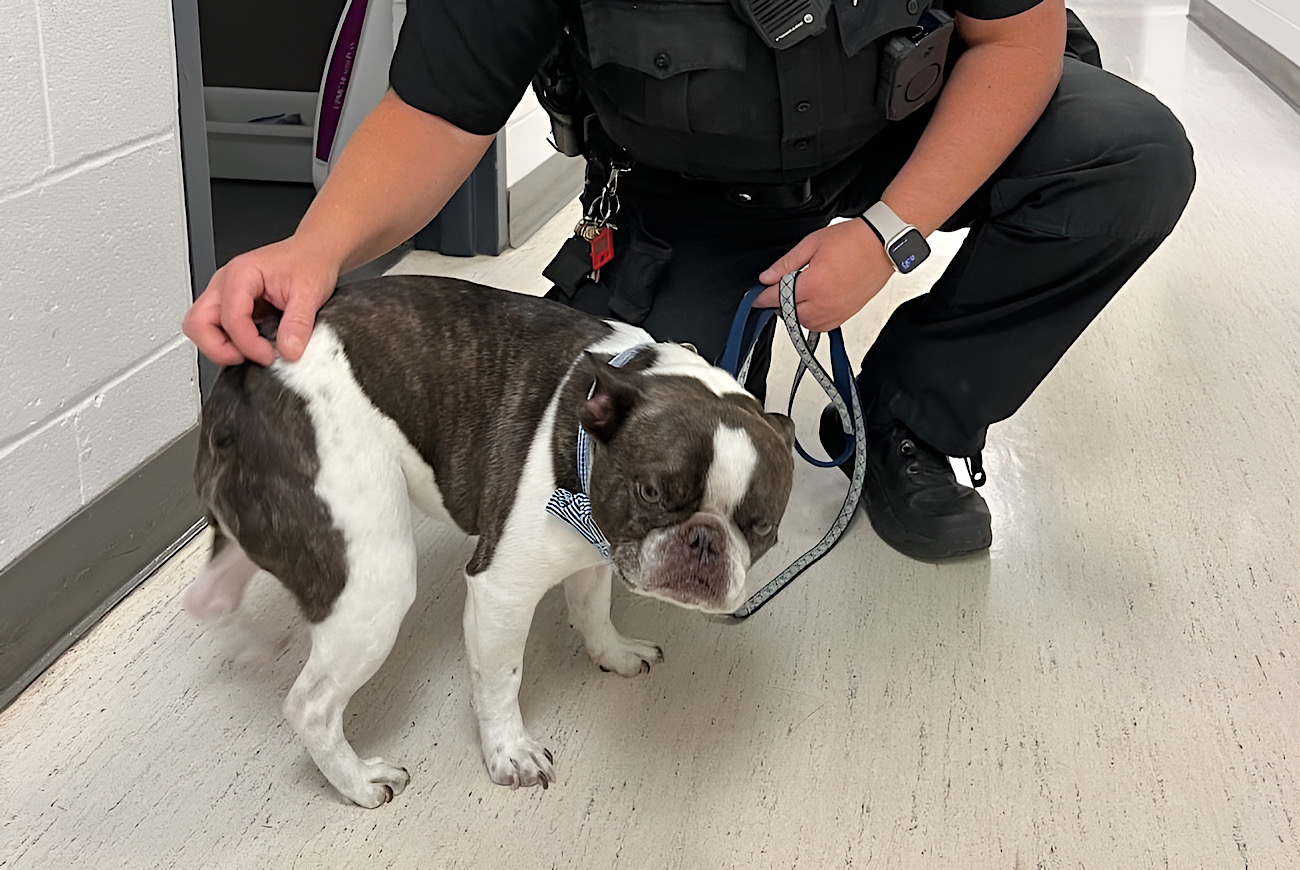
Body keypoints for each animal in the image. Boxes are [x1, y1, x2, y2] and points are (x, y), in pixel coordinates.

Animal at [182, 274, 790, 806]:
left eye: (761, 526)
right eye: (651, 492)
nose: (704, 542)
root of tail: (246, 373)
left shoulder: (595, 550)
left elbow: (593, 608)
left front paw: (614, 653)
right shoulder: (502, 591)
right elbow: (501, 678)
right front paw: (510, 752)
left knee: (211, 594)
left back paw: (248, 647)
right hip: (371, 578)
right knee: (310, 705)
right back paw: (358, 781)